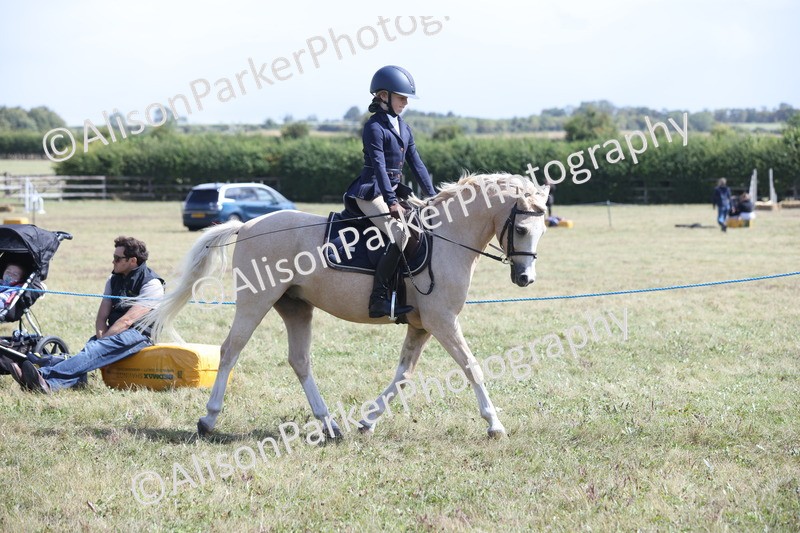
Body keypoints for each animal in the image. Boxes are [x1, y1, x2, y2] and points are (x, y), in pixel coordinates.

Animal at [144, 173, 549, 439]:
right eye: (521, 229)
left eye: (543, 230)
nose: (525, 279)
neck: (447, 238)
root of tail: (247, 225)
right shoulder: (442, 321)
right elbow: (472, 366)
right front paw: (494, 424)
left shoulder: (421, 325)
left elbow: (403, 375)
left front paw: (368, 421)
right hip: (256, 301)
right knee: (230, 351)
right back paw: (208, 420)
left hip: (295, 307)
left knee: (300, 361)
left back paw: (329, 424)